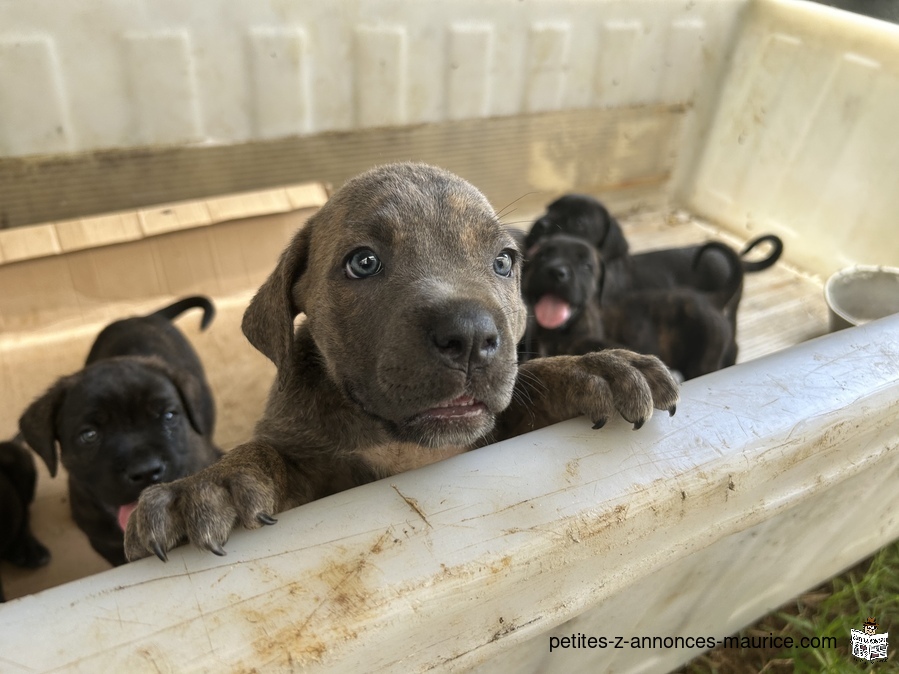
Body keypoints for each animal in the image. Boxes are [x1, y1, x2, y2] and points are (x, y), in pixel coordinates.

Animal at [123, 163, 680, 560]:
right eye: (363, 262)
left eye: (504, 261)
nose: (471, 335)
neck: (401, 443)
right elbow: (267, 453)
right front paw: (208, 483)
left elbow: (532, 386)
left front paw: (596, 367)